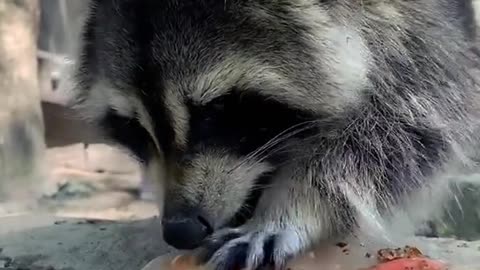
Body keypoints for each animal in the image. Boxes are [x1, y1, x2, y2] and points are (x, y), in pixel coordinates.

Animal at [69, 0, 480, 268]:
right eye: (133, 126)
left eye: (215, 111)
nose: (180, 230)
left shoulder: (426, 38)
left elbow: (405, 125)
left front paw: (291, 207)